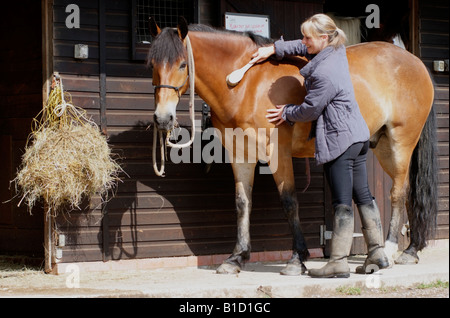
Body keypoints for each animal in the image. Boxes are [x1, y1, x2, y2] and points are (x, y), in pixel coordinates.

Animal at [147, 18, 436, 274]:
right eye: (152, 64)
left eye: (183, 64)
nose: (163, 118)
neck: (246, 84)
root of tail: (415, 62)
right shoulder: (240, 154)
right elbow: (242, 203)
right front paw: (236, 258)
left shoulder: (278, 153)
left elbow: (289, 201)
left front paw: (298, 258)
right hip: (383, 146)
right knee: (404, 192)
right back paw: (408, 250)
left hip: (401, 143)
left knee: (397, 193)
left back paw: (391, 250)